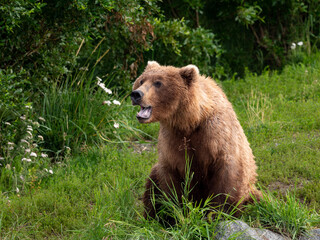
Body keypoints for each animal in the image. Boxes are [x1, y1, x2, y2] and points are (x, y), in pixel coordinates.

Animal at [131, 61, 262, 222]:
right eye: (141, 80)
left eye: (158, 83)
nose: (136, 94)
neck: (191, 121)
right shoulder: (172, 141)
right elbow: (171, 181)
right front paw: (175, 215)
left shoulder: (215, 136)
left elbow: (227, 177)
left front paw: (217, 214)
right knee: (152, 184)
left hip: (251, 192)